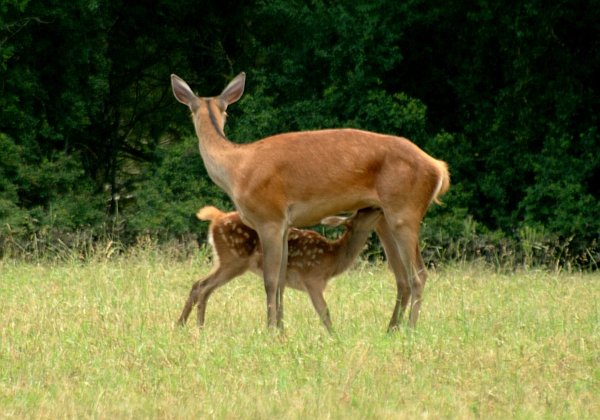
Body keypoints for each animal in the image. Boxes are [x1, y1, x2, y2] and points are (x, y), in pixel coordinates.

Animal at [178, 205, 382, 330]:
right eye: (362, 212)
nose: (379, 207)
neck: (333, 259)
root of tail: (216, 217)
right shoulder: (312, 278)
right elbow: (325, 312)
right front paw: (335, 338)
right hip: (233, 258)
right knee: (204, 286)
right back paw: (198, 326)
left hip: (223, 259)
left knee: (199, 284)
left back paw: (182, 325)